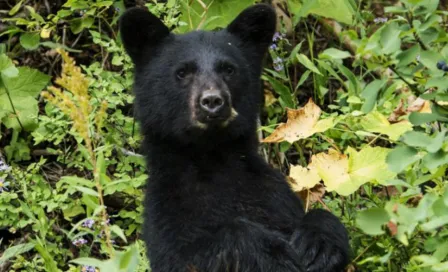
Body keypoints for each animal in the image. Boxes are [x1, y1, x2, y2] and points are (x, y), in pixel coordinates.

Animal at [119, 4, 350, 272]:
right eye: (182, 72)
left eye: (228, 69)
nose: (212, 101)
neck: (211, 158)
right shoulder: (169, 214)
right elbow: (193, 252)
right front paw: (272, 252)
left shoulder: (271, 195)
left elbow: (311, 216)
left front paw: (318, 245)